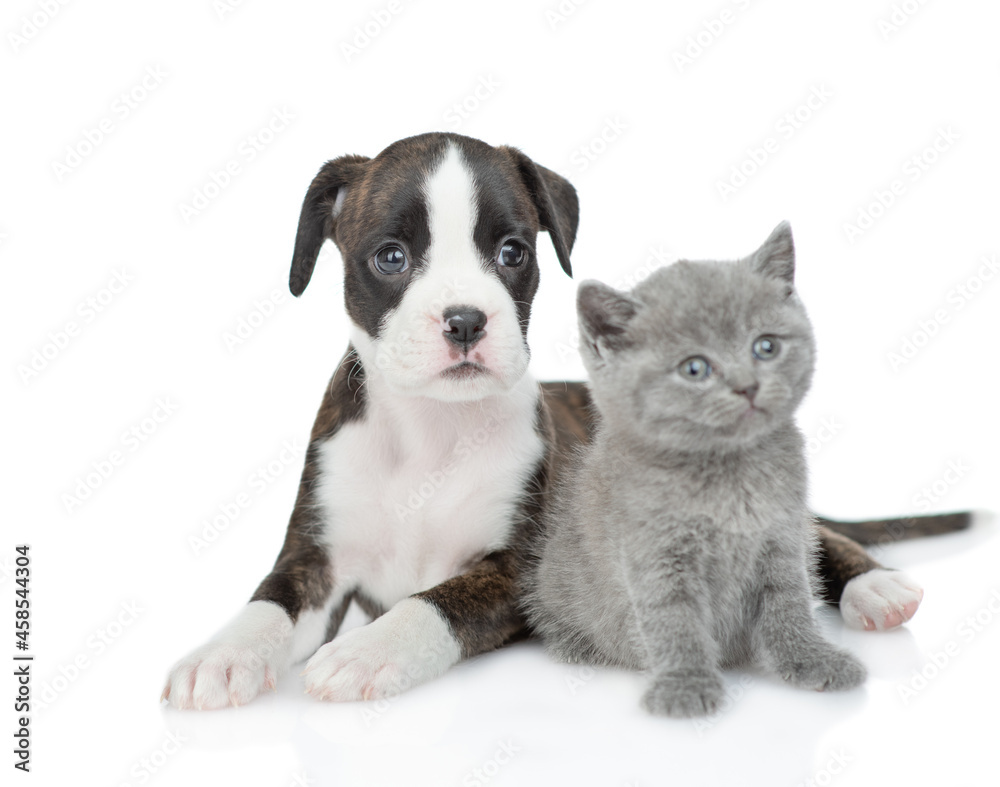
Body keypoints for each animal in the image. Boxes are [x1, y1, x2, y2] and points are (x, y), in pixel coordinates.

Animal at [528, 223, 864, 720]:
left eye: (765, 346)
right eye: (695, 368)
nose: (747, 385)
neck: (728, 474)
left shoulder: (783, 540)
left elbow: (790, 605)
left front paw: (810, 658)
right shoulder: (655, 555)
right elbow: (675, 621)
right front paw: (685, 685)